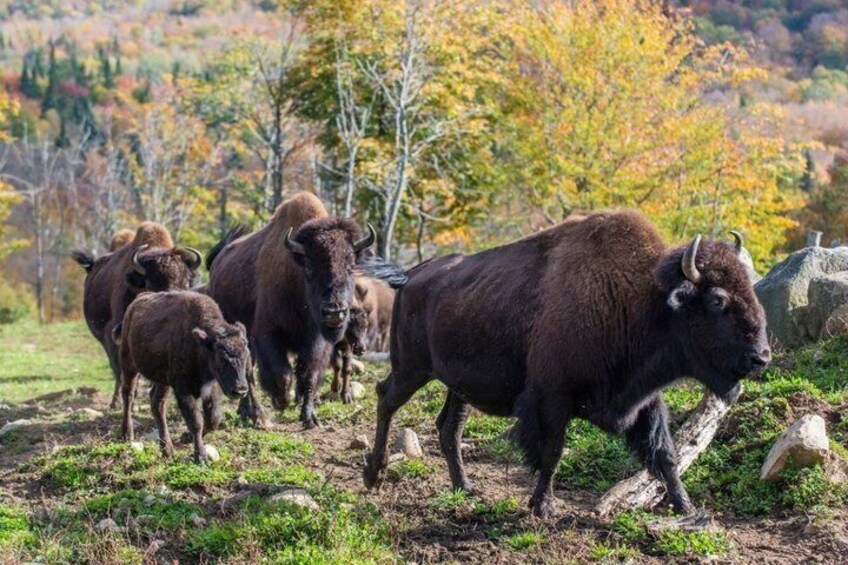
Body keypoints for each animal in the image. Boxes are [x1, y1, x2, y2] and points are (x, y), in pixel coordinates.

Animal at [116, 291, 250, 463]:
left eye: (246, 354)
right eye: (221, 357)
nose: (240, 390)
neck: (200, 345)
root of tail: (137, 300)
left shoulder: (210, 386)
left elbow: (213, 418)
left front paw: (185, 437)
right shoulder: (182, 389)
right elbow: (196, 421)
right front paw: (201, 457)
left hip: (163, 380)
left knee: (157, 403)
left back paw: (167, 450)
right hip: (129, 365)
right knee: (128, 395)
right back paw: (127, 434)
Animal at [206, 191, 375, 428]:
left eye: (351, 267)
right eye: (310, 267)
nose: (334, 312)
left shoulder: (316, 342)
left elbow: (309, 375)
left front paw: (310, 417)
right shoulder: (267, 335)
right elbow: (282, 374)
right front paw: (281, 401)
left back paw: (246, 411)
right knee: (247, 373)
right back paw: (257, 415)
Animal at [363, 211, 770, 518]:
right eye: (717, 300)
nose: (761, 357)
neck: (639, 300)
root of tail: (412, 275)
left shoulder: (644, 401)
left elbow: (665, 454)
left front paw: (686, 507)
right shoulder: (552, 399)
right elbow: (552, 452)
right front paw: (543, 507)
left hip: (457, 385)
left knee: (449, 429)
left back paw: (465, 488)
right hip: (411, 368)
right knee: (386, 398)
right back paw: (373, 476)